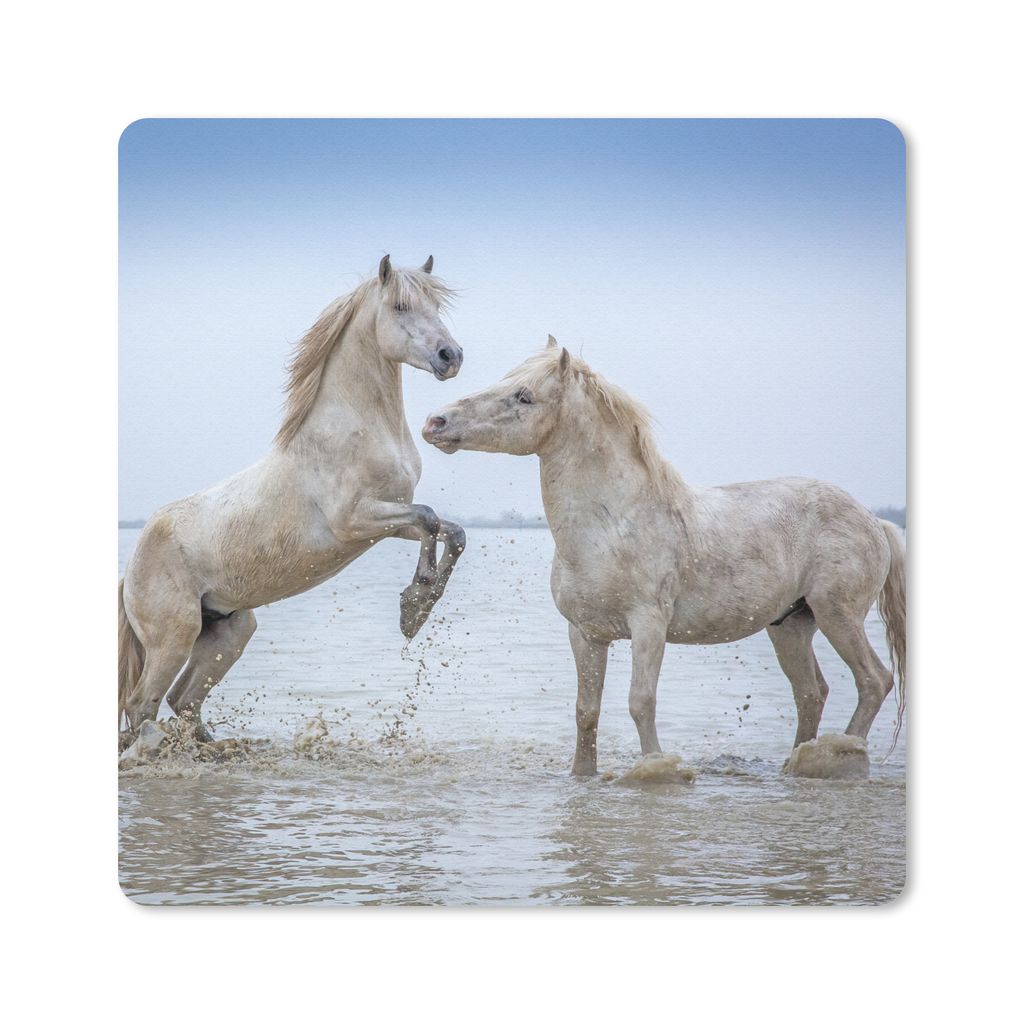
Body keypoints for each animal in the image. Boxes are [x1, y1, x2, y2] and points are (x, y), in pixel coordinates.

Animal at [119, 255, 467, 743]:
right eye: (400, 306)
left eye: (436, 305)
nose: (450, 357)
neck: (355, 428)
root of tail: (129, 570)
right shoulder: (355, 521)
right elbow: (431, 518)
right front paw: (412, 608)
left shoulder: (387, 523)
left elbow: (449, 530)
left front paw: (416, 609)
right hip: (175, 635)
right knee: (142, 705)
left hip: (231, 630)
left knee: (182, 700)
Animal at [422, 337, 906, 776]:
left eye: (523, 396)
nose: (435, 422)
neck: (613, 525)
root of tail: (873, 520)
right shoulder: (585, 633)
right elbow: (586, 710)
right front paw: (582, 774)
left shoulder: (648, 624)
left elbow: (641, 701)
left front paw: (657, 768)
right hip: (791, 626)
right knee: (811, 693)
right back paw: (796, 765)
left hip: (837, 613)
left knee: (873, 680)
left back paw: (843, 754)